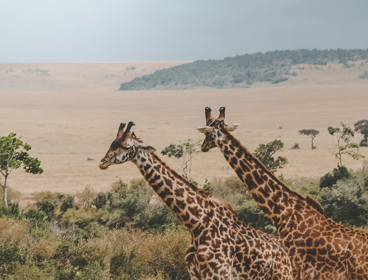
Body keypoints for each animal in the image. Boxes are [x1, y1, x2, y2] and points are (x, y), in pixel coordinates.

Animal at [98, 121, 294, 280]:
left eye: (126, 147)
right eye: (112, 143)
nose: (103, 162)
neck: (196, 224)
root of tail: (287, 257)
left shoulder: (218, 274)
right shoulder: (195, 274)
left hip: (282, 276)